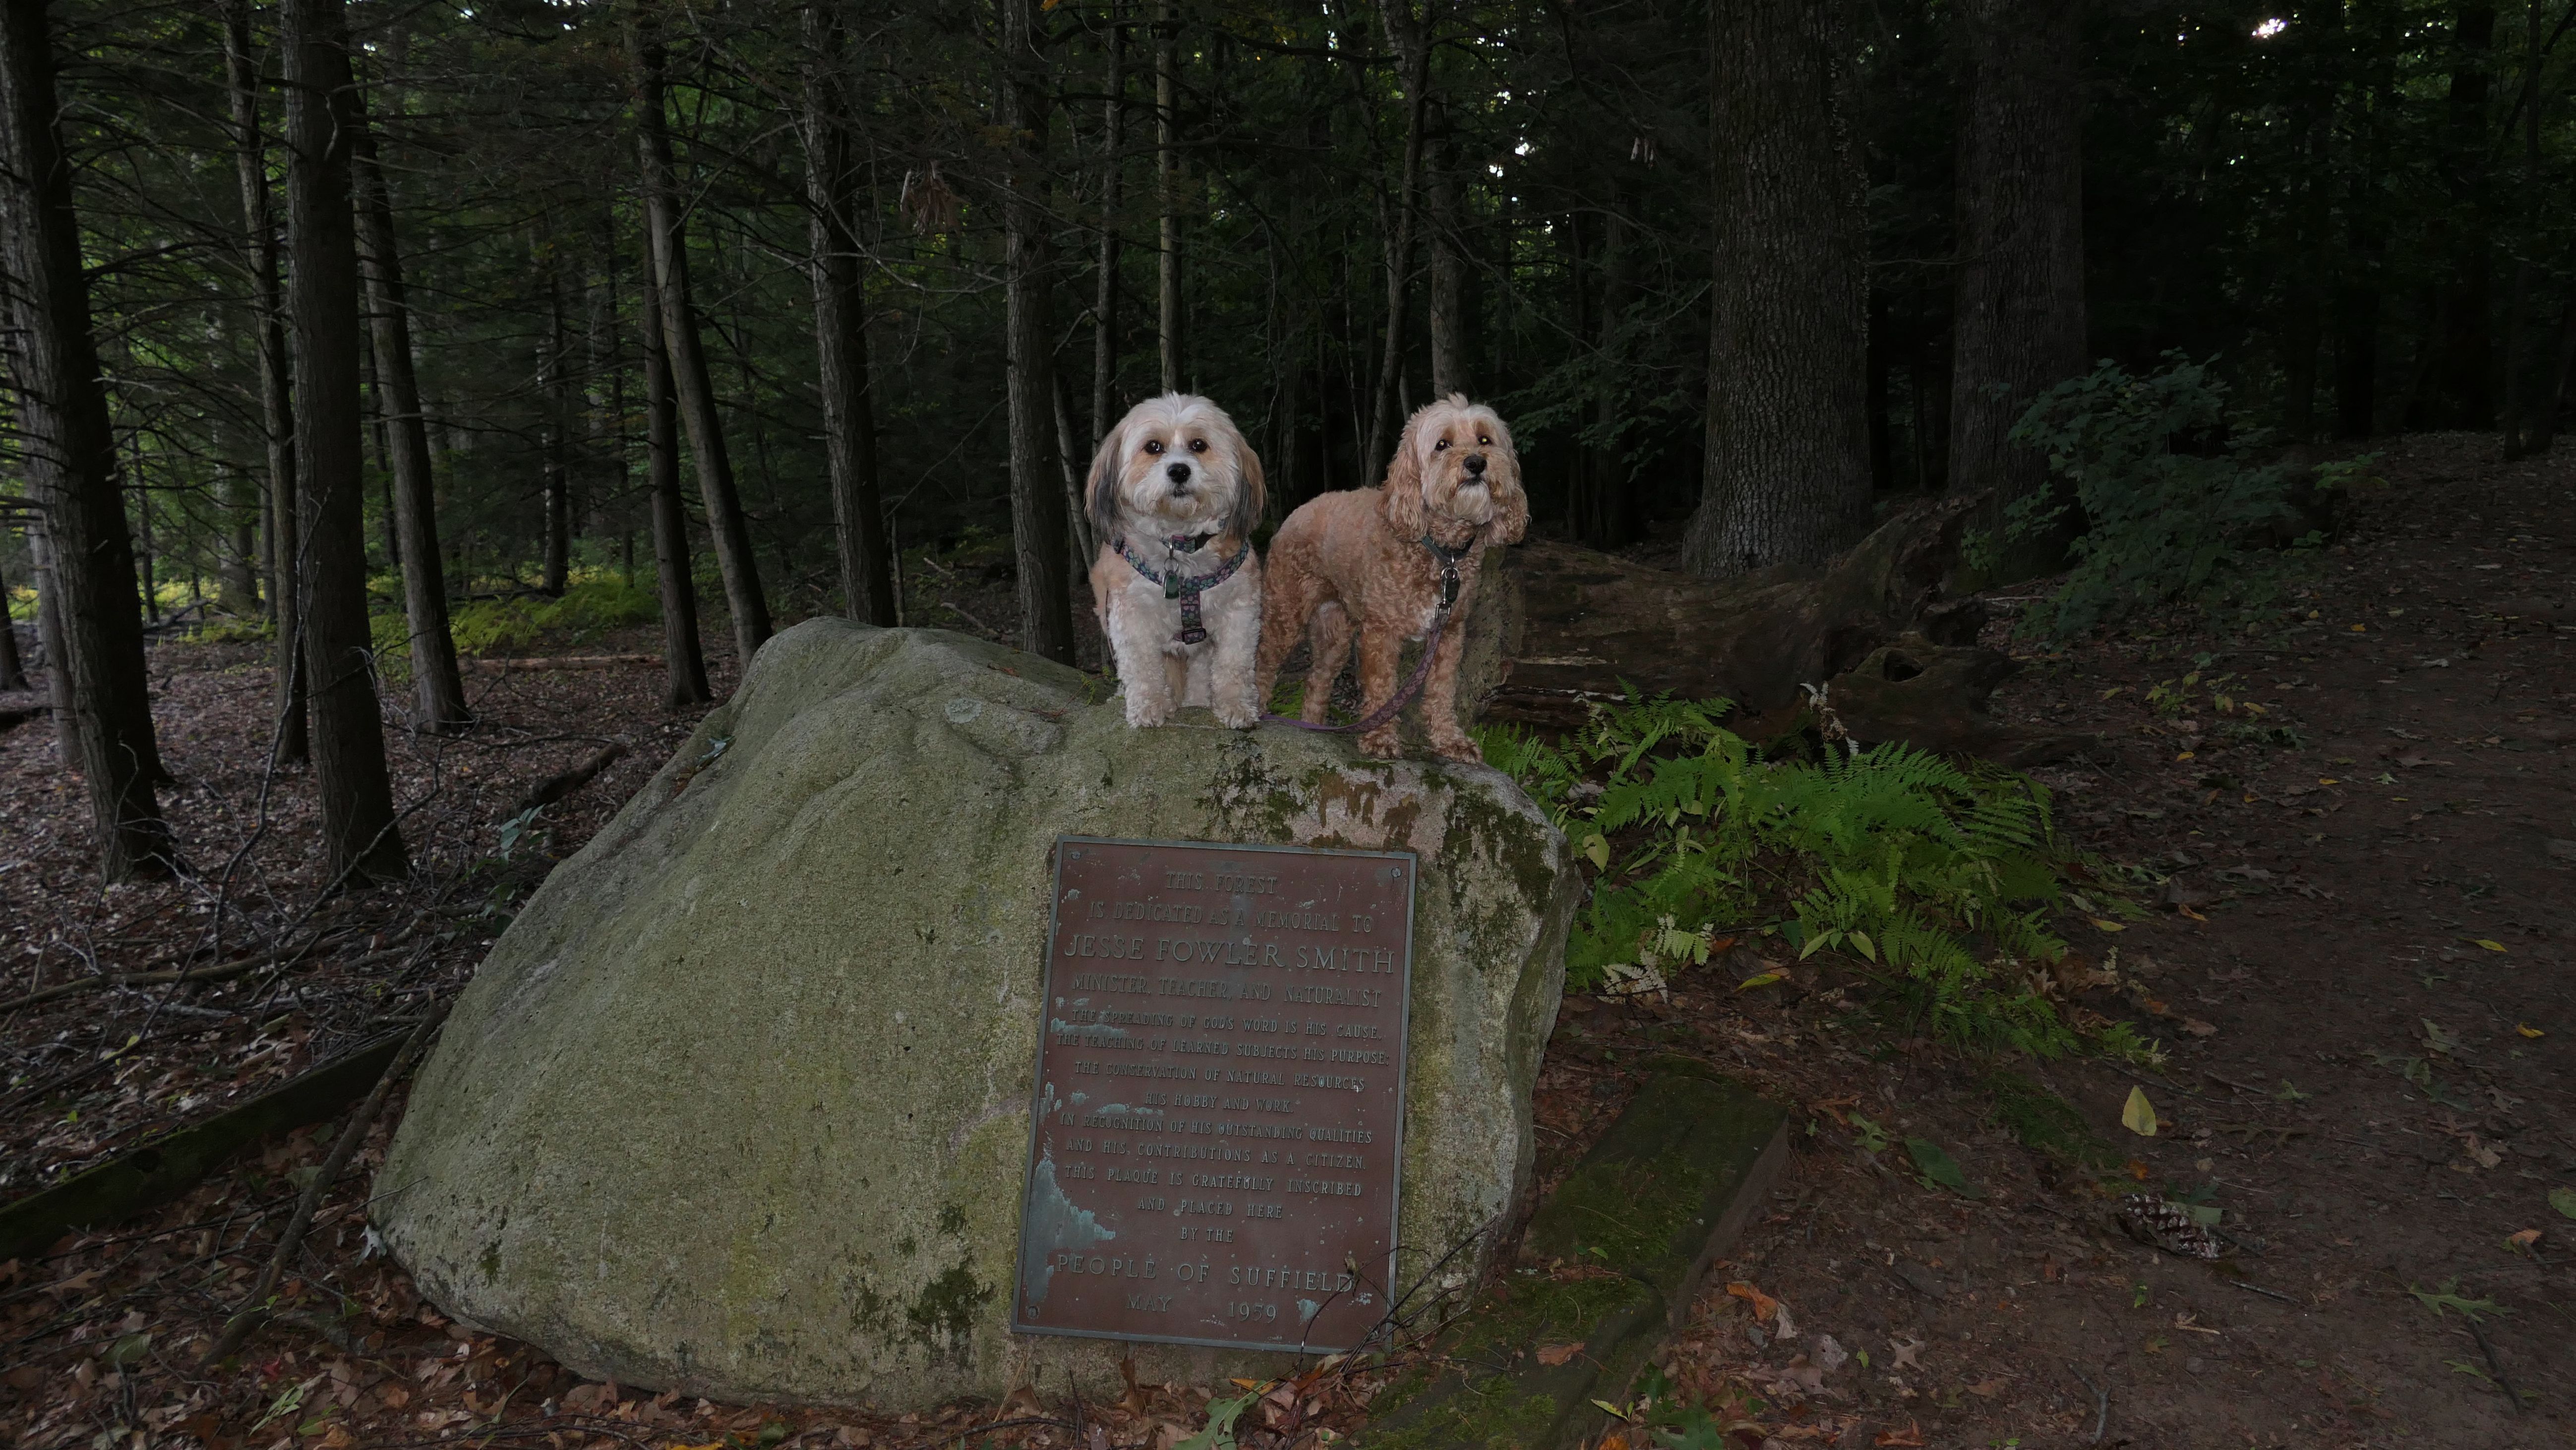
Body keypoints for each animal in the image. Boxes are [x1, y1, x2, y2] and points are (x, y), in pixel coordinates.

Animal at [1087, 394, 1266, 729]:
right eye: (1153, 447)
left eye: (1199, 445)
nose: (1179, 471)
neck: (1181, 545)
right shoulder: (1131, 617)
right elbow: (1142, 666)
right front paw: (1149, 706)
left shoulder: (1240, 614)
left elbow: (1234, 664)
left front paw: (1236, 705)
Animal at [1255, 394, 1526, 761]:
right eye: (1442, 444)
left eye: (1485, 439)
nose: (1475, 462)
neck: (1439, 550)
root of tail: (1297, 511)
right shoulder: (1380, 633)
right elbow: (1382, 688)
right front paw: (1380, 739)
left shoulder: (1449, 634)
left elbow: (1442, 691)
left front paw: (1449, 741)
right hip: (1284, 616)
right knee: (1262, 663)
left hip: (1335, 637)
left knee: (1316, 682)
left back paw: (1313, 728)